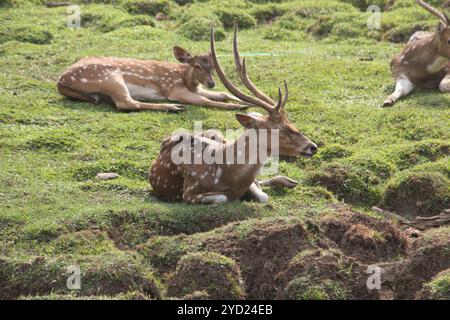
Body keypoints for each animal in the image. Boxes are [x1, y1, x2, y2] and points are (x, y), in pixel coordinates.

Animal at [56, 46, 248, 111]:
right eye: (197, 66)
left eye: (213, 65)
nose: (211, 82)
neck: (185, 79)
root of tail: (60, 81)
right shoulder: (172, 88)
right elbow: (204, 101)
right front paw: (237, 106)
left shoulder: (196, 88)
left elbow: (222, 94)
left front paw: (246, 102)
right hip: (110, 77)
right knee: (126, 103)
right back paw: (174, 107)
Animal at [149, 25, 318, 205]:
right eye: (281, 129)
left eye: (291, 123)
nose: (313, 146)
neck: (226, 173)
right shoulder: (188, 192)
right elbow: (225, 197)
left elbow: (263, 195)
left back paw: (288, 181)